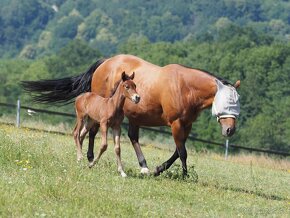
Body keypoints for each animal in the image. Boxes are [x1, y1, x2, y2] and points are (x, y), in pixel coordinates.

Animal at [21, 53, 240, 176]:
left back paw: (143, 166)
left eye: (237, 103)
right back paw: (91, 157)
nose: (230, 130)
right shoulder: (176, 123)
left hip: (133, 117)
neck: (185, 86)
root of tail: (105, 62)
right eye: (227, 102)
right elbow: (182, 152)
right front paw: (185, 176)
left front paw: (158, 169)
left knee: (130, 137)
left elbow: (178, 151)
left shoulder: (186, 124)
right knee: (92, 132)